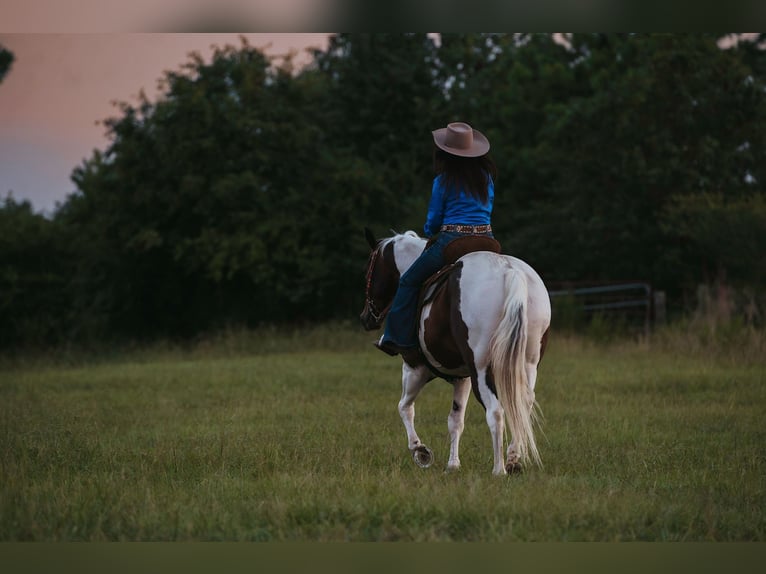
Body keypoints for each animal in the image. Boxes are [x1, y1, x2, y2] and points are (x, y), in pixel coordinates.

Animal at [362, 230, 552, 476]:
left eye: (370, 268)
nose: (366, 318)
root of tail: (509, 270)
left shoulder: (415, 367)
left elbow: (404, 407)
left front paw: (420, 451)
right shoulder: (463, 378)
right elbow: (456, 420)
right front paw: (453, 464)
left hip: (482, 369)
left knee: (496, 411)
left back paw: (499, 469)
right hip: (527, 364)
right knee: (523, 404)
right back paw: (512, 459)